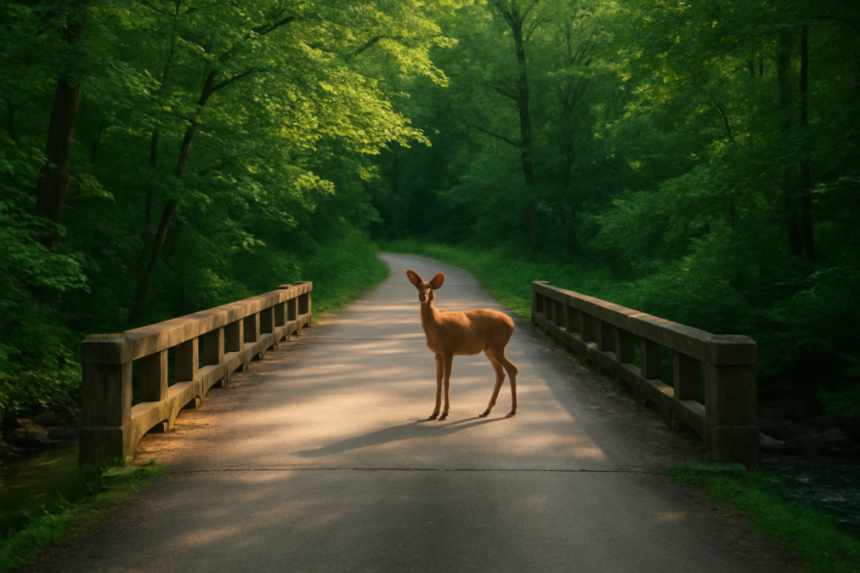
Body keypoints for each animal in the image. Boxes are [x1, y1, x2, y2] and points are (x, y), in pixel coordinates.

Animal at [406, 269, 518, 421]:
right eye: (418, 286)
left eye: (430, 287)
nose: (422, 296)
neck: (435, 325)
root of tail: (512, 324)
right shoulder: (438, 353)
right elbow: (438, 379)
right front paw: (434, 413)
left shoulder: (448, 349)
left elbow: (447, 380)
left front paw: (445, 412)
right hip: (490, 349)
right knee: (501, 373)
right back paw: (486, 411)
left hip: (497, 346)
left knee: (512, 369)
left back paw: (512, 410)